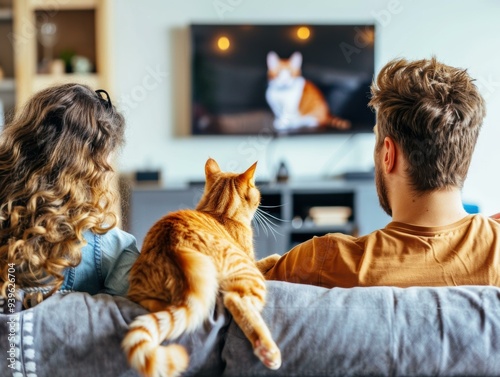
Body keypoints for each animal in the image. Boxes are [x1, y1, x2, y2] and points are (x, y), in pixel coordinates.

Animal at [122, 159, 282, 376]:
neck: (219, 212)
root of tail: (174, 244)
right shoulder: (252, 261)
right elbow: (270, 258)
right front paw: (277, 256)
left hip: (142, 295)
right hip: (250, 276)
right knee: (236, 300)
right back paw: (268, 350)